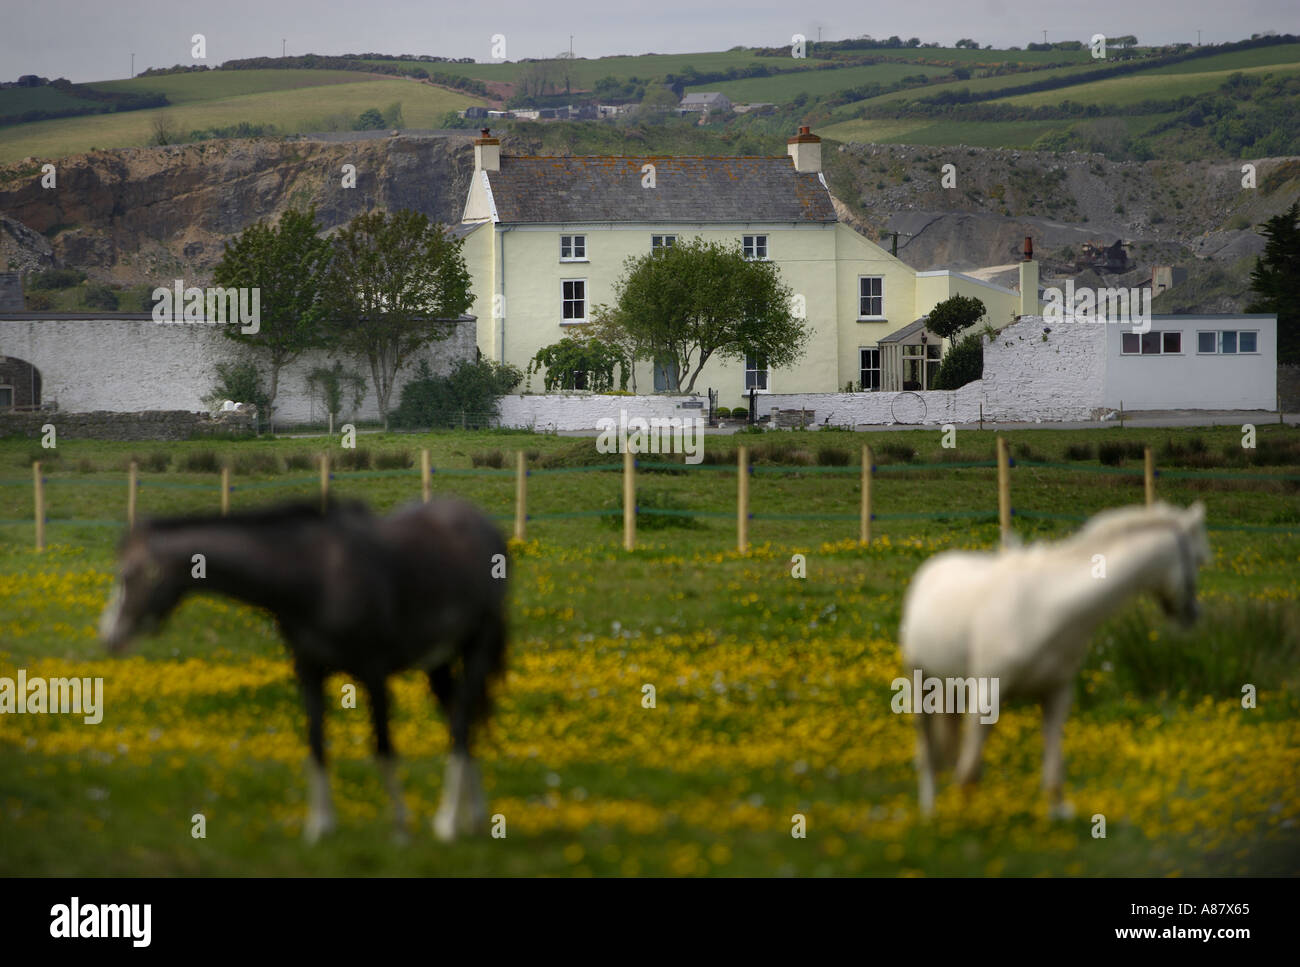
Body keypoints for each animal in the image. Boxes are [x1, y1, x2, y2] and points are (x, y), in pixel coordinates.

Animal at [97, 499, 506, 837]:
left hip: (477, 648)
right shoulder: (308, 673)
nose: (108, 635)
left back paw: (448, 822)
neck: (316, 576)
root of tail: (484, 524)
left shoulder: (374, 675)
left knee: (461, 725)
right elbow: (316, 743)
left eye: (129, 576)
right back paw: (473, 817)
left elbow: (383, 748)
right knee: (461, 724)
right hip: (438, 663)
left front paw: (401, 829)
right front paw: (320, 828)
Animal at [899, 501, 1211, 821]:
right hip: (920, 681)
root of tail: (933, 568)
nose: (1192, 616)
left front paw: (1057, 813)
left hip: (952, 686)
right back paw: (930, 809)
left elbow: (1053, 767)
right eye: (1198, 560)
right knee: (926, 750)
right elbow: (969, 772)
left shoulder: (1057, 694)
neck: (1047, 609)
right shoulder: (987, 695)